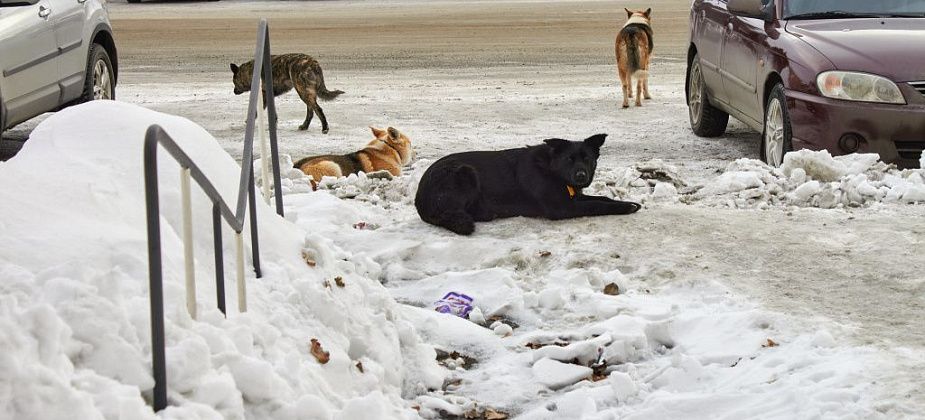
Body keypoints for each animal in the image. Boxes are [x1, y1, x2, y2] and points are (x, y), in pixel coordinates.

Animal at [416, 133, 640, 235]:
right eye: (569, 159)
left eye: (587, 159)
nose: (581, 176)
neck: (551, 169)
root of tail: (420, 200)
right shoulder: (562, 207)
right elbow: (598, 205)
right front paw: (626, 207)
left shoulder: (574, 196)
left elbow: (601, 197)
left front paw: (628, 202)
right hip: (464, 172)